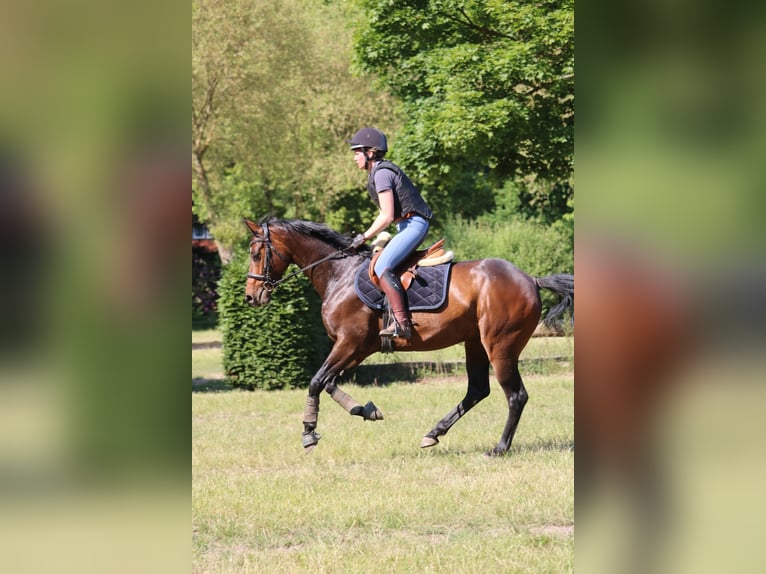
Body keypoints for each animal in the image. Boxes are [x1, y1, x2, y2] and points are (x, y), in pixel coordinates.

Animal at [243, 218, 572, 456]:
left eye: (257, 254)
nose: (250, 297)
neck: (340, 273)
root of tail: (531, 279)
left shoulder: (349, 342)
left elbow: (316, 381)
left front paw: (309, 433)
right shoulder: (357, 347)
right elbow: (329, 382)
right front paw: (366, 411)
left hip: (500, 346)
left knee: (515, 395)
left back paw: (499, 448)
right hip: (475, 343)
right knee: (478, 390)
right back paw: (433, 434)